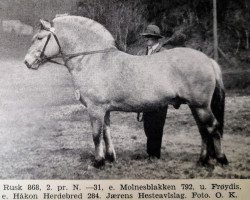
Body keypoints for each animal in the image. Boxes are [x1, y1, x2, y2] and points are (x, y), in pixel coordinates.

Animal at [23, 15, 229, 166]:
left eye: (40, 38)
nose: (26, 62)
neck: (94, 60)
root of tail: (208, 60)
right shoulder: (104, 110)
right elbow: (107, 132)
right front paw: (110, 158)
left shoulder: (95, 109)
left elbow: (96, 135)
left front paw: (98, 162)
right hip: (196, 107)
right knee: (203, 130)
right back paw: (202, 160)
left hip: (201, 106)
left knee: (212, 127)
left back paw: (220, 159)